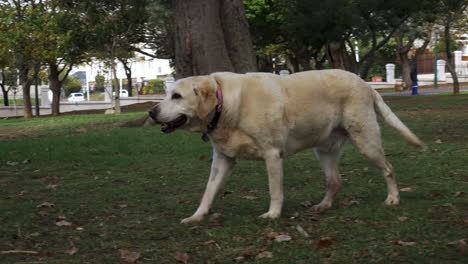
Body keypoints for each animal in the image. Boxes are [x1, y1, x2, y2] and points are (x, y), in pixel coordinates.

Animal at [149, 69, 424, 223]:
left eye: (177, 96)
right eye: (167, 94)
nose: (151, 112)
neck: (224, 104)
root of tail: (366, 84)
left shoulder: (272, 155)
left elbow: (275, 191)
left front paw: (272, 214)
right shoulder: (223, 160)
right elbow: (208, 191)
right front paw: (197, 216)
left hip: (366, 140)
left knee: (388, 168)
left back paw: (393, 198)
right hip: (325, 150)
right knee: (335, 181)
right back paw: (323, 205)